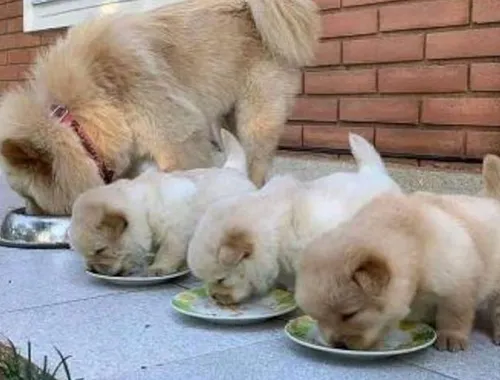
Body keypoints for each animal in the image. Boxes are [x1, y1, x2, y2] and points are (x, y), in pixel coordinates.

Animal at [69, 131, 256, 276]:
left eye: (100, 250)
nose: (93, 268)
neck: (145, 209)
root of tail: (234, 171)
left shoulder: (175, 233)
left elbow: (167, 252)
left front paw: (158, 268)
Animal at [294, 155, 500, 354]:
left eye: (350, 315)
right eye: (317, 318)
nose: (336, 344)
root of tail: (493, 200)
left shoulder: (458, 285)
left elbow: (454, 316)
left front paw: (451, 337)